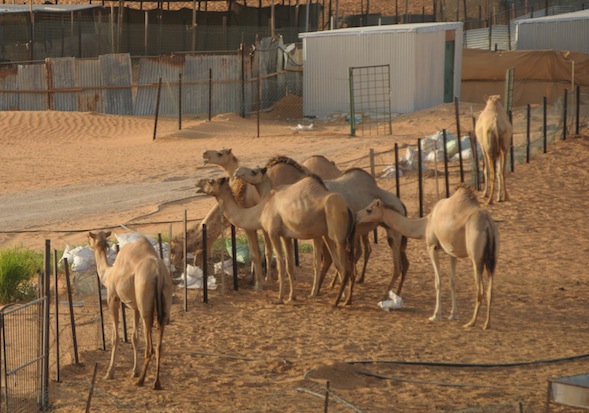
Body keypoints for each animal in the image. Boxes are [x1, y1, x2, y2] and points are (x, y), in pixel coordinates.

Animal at [86, 230, 172, 388]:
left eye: (90, 237)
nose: (87, 239)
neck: (109, 274)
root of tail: (159, 273)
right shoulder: (135, 306)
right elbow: (134, 337)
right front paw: (134, 371)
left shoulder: (112, 298)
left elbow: (115, 337)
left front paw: (109, 373)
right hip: (165, 296)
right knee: (159, 345)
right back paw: (156, 382)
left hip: (145, 299)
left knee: (150, 345)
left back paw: (141, 380)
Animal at [195, 175, 356, 304]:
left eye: (210, 181)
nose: (197, 183)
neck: (261, 210)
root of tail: (348, 207)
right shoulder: (286, 235)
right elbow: (290, 266)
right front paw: (292, 297)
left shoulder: (273, 232)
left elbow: (281, 264)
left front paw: (279, 298)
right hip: (327, 233)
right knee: (338, 264)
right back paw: (338, 297)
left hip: (337, 230)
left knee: (346, 267)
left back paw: (339, 301)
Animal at [356, 183, 498, 328]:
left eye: (369, 210)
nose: (356, 216)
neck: (425, 223)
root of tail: (488, 224)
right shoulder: (451, 251)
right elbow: (452, 281)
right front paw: (453, 315)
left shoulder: (431, 246)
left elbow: (438, 281)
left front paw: (435, 315)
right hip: (492, 258)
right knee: (490, 289)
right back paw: (486, 323)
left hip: (476, 256)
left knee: (480, 289)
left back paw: (471, 322)